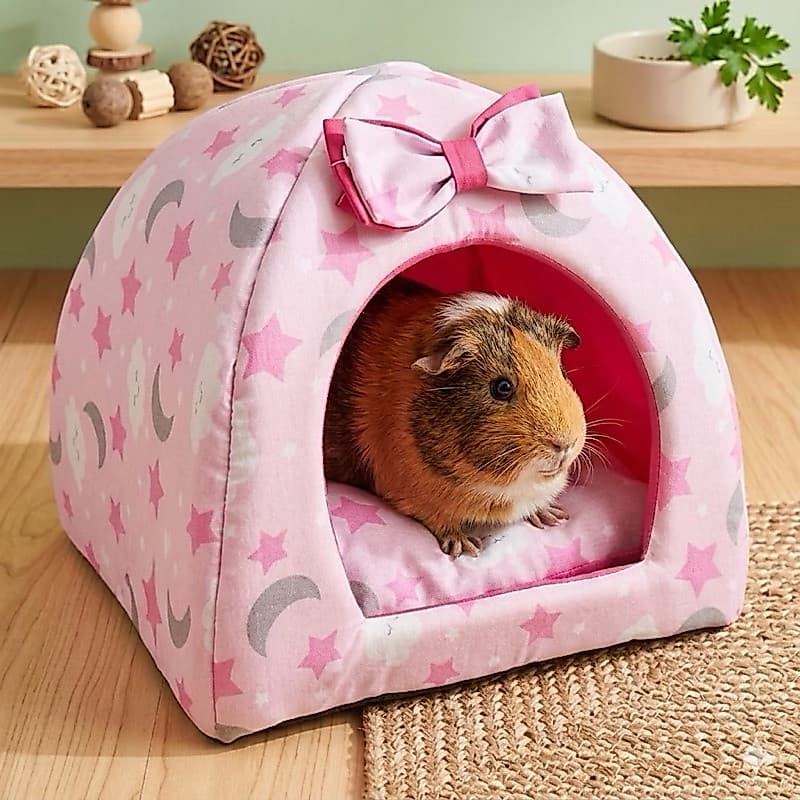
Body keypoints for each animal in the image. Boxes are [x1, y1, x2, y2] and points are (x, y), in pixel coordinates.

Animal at [323, 277, 586, 558]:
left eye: (560, 371)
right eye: (502, 387)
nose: (565, 445)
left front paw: (554, 516)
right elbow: (441, 519)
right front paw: (466, 547)